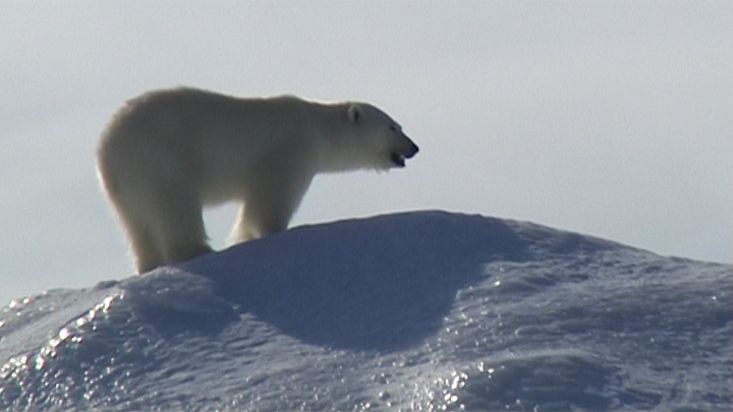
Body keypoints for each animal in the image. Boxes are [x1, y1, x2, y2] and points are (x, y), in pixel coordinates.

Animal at [97, 87, 418, 274]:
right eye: (393, 127)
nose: (414, 147)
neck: (317, 128)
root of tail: (106, 148)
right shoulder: (289, 151)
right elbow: (269, 200)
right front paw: (262, 234)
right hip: (160, 159)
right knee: (175, 207)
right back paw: (198, 250)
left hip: (125, 186)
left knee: (137, 226)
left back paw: (148, 264)